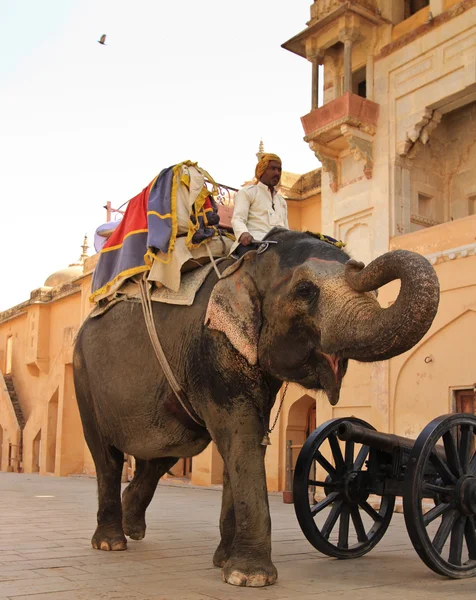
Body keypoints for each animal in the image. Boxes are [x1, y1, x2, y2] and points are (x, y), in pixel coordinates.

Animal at [71, 229, 438, 584]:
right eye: (305, 290)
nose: (357, 264)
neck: (250, 262)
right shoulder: (213, 344)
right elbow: (242, 436)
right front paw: (250, 577)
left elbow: (243, 442)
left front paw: (225, 563)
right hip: (83, 375)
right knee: (107, 457)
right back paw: (111, 543)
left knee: (163, 455)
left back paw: (133, 529)